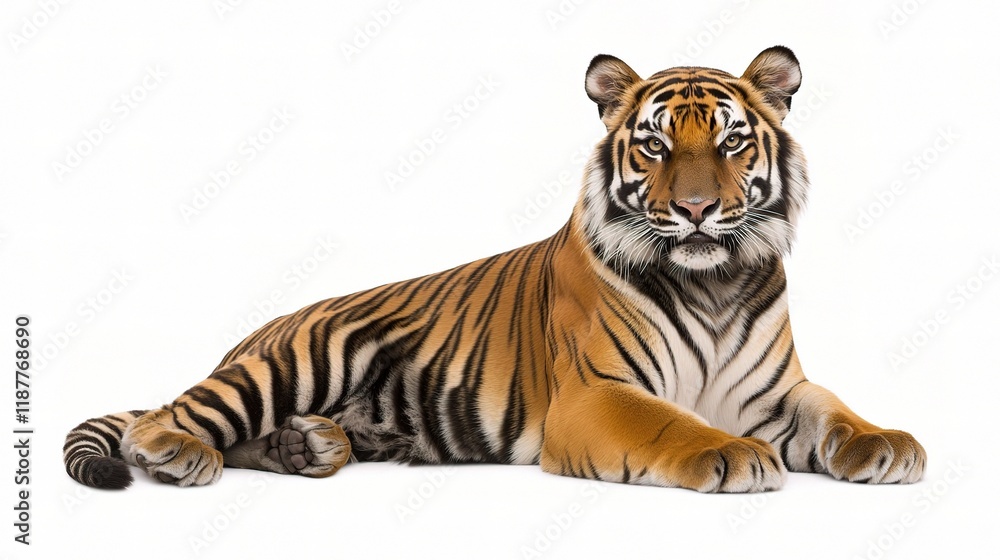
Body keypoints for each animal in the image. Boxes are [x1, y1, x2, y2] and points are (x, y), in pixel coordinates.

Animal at [64, 46, 925, 493]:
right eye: (654, 145)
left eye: (730, 142)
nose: (695, 210)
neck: (712, 282)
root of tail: (253, 333)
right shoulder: (598, 393)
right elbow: (673, 422)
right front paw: (732, 456)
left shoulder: (774, 393)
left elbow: (833, 410)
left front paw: (887, 444)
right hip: (293, 361)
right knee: (166, 416)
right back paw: (179, 454)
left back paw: (307, 450)